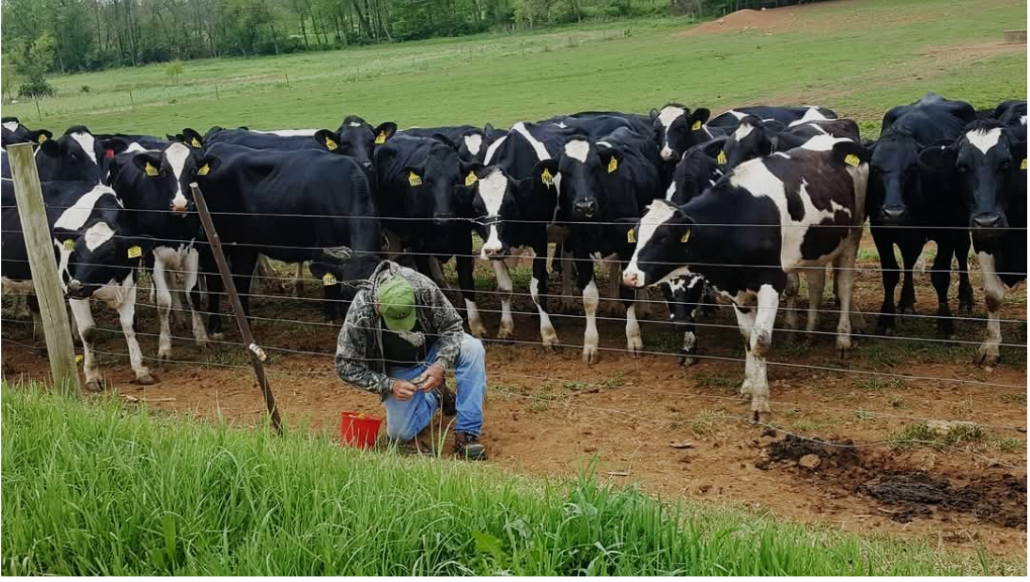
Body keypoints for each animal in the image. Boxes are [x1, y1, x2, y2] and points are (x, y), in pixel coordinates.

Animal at [1, 180, 154, 389]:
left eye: (108, 254)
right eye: (76, 252)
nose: (76, 287)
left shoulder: (129, 284)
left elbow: (130, 326)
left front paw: (140, 370)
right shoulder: (72, 289)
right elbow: (88, 331)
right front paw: (92, 375)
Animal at [193, 143, 383, 333]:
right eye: (345, 293)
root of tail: (220, 147)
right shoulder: (324, 248)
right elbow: (330, 289)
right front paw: (330, 318)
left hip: (245, 245)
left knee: (241, 280)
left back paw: (246, 321)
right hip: (213, 241)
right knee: (214, 279)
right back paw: (215, 327)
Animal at [618, 135, 869, 418]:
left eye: (662, 237)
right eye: (637, 233)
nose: (630, 276)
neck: (739, 219)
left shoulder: (772, 283)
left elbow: (760, 340)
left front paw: (760, 402)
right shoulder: (735, 287)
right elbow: (747, 337)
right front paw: (749, 385)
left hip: (853, 236)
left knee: (844, 286)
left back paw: (843, 338)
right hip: (815, 248)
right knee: (817, 283)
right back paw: (811, 333)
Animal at [865, 90, 976, 335]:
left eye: (912, 167)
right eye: (875, 168)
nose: (893, 212)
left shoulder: (947, 230)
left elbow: (941, 274)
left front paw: (945, 322)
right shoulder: (881, 231)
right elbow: (890, 272)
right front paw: (886, 319)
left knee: (962, 253)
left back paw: (966, 299)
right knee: (908, 259)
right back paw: (906, 301)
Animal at [922, 121, 1025, 364]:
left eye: (1006, 162)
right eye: (962, 167)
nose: (987, 221)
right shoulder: (983, 242)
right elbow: (993, 296)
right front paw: (990, 347)